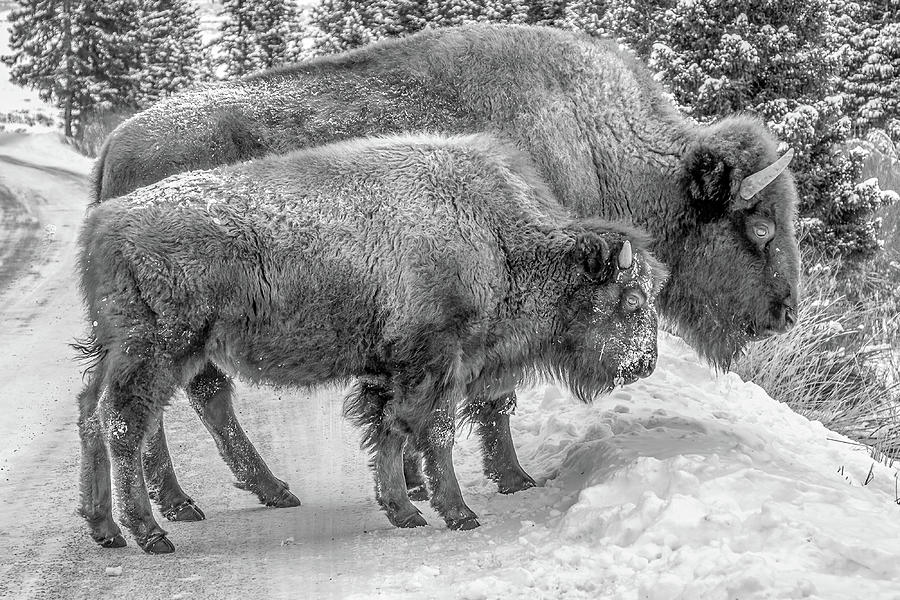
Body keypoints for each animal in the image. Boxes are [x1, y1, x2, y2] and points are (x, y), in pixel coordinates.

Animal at [76, 133, 668, 552]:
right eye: (632, 300)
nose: (643, 364)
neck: (494, 234)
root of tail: (106, 221)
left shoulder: (394, 371)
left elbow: (391, 430)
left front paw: (403, 509)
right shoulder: (434, 363)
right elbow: (430, 433)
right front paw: (454, 513)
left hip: (124, 351)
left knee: (94, 412)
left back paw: (106, 526)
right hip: (160, 349)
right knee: (126, 422)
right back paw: (152, 533)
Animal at [91, 23, 800, 517]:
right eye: (759, 227)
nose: (784, 313)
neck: (593, 141)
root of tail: (113, 145)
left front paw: (414, 480)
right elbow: (491, 399)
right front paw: (509, 479)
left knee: (166, 399)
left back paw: (214, 499)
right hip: (175, 325)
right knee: (175, 399)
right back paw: (203, 501)